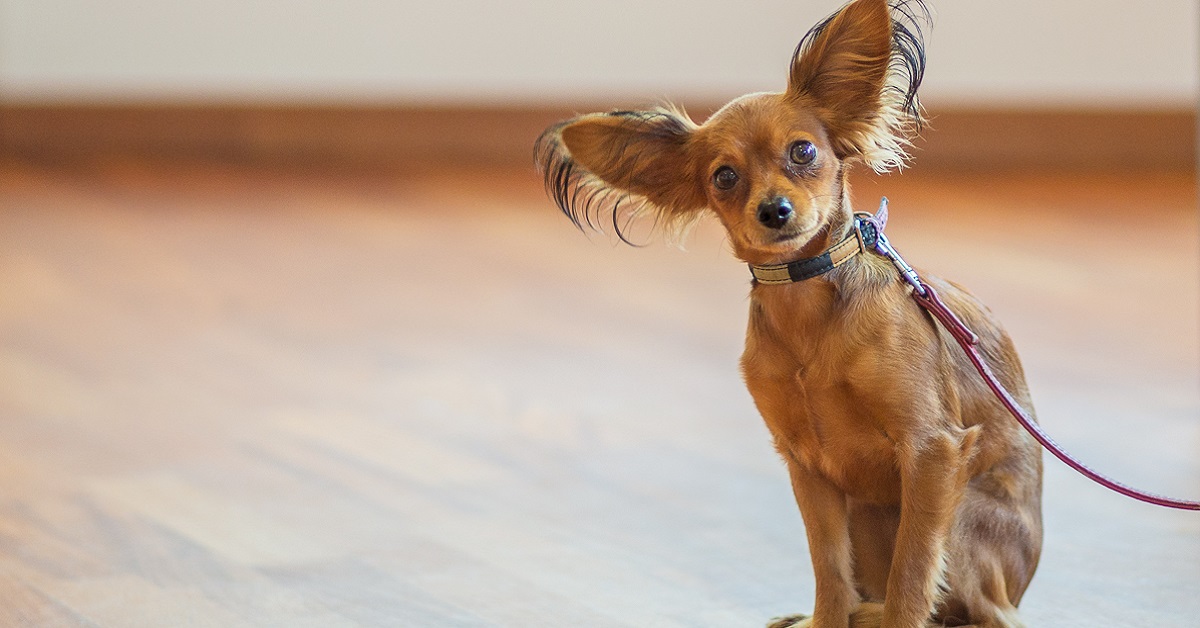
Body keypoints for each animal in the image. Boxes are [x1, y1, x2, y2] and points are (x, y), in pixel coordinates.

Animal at [537, 1, 1041, 628]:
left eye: (804, 151)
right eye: (724, 176)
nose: (773, 211)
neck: (809, 310)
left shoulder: (932, 452)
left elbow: (912, 572)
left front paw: (888, 615)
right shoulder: (808, 464)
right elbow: (827, 564)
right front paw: (825, 619)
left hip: (965, 516)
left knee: (978, 612)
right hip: (866, 511)